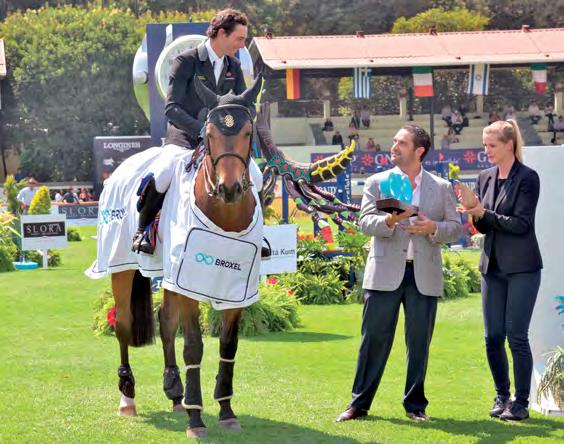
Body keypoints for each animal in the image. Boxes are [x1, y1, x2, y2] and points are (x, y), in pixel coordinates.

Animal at [90, 75, 264, 439]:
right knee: (124, 324)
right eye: (209, 134)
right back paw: (128, 397)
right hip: (122, 268)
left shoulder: (235, 289)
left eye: (247, 132)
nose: (229, 189)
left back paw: (175, 393)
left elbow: (228, 346)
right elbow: (194, 346)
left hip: (168, 275)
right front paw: (197, 420)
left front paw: (226, 411)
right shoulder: (189, 285)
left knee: (166, 322)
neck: (226, 216)